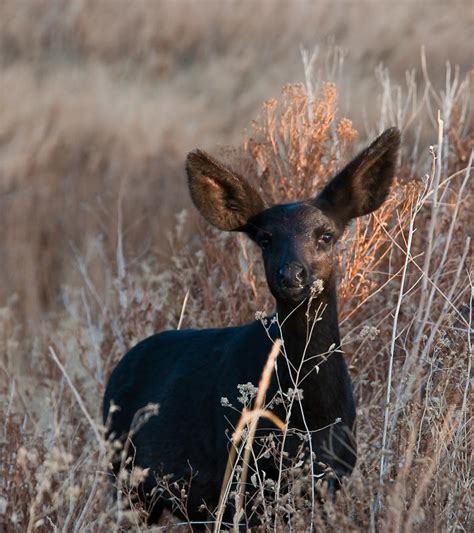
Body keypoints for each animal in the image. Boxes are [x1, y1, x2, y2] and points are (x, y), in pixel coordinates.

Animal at [103, 127, 400, 524]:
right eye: (265, 239)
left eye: (326, 235)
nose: (291, 274)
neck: (309, 418)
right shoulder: (238, 480)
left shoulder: (332, 476)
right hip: (128, 480)